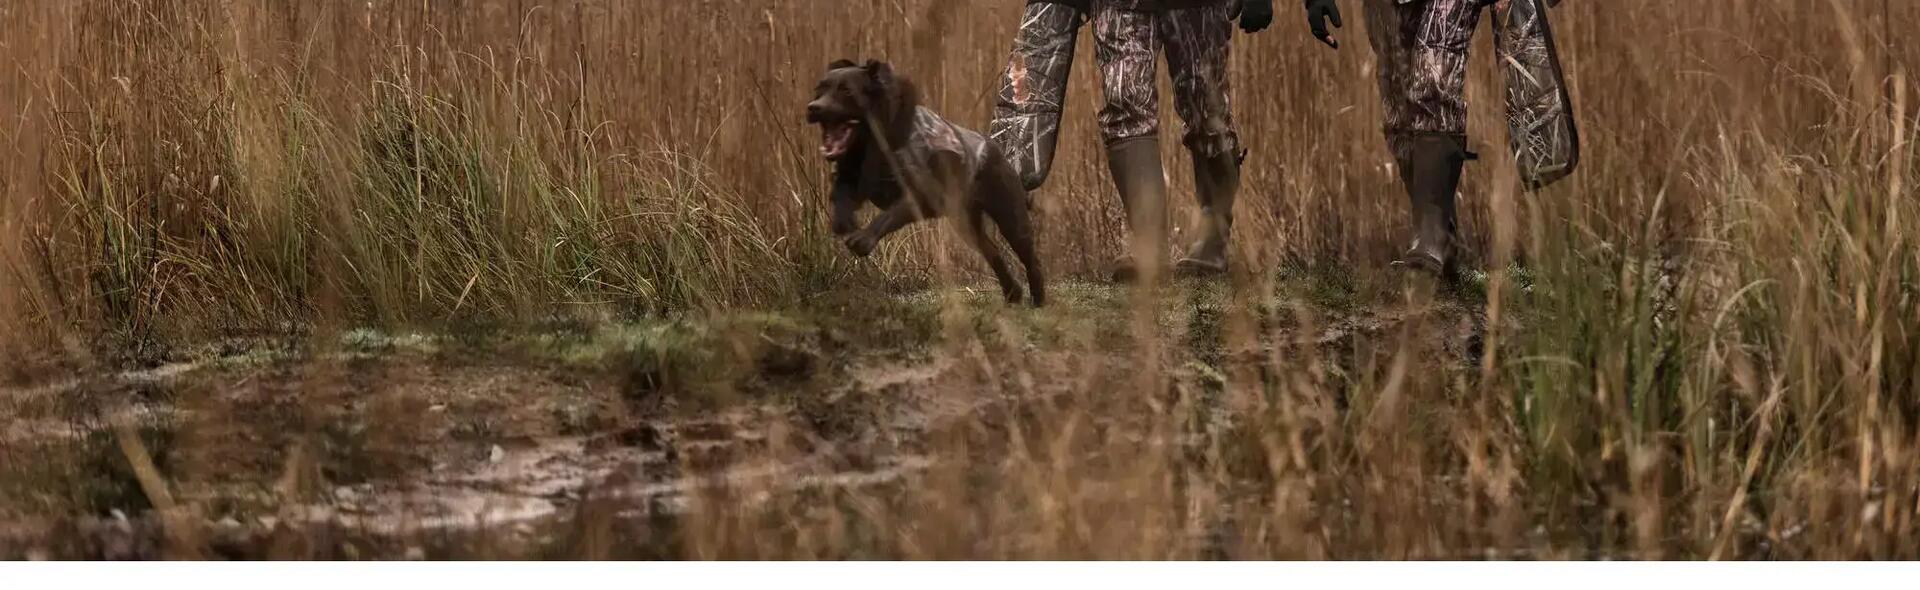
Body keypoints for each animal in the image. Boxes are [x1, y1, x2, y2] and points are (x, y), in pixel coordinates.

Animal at [810, 59, 1052, 307]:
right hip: (966, 223)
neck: (874, 141)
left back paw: (1038, 298)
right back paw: (1013, 294)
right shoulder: (852, 177)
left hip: (1010, 217)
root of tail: (1000, 152)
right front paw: (844, 222)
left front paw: (863, 239)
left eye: (847, 91)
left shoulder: (920, 194)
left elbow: (888, 216)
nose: (813, 107)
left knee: (1030, 259)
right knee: (992, 252)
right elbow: (842, 196)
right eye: (819, 89)